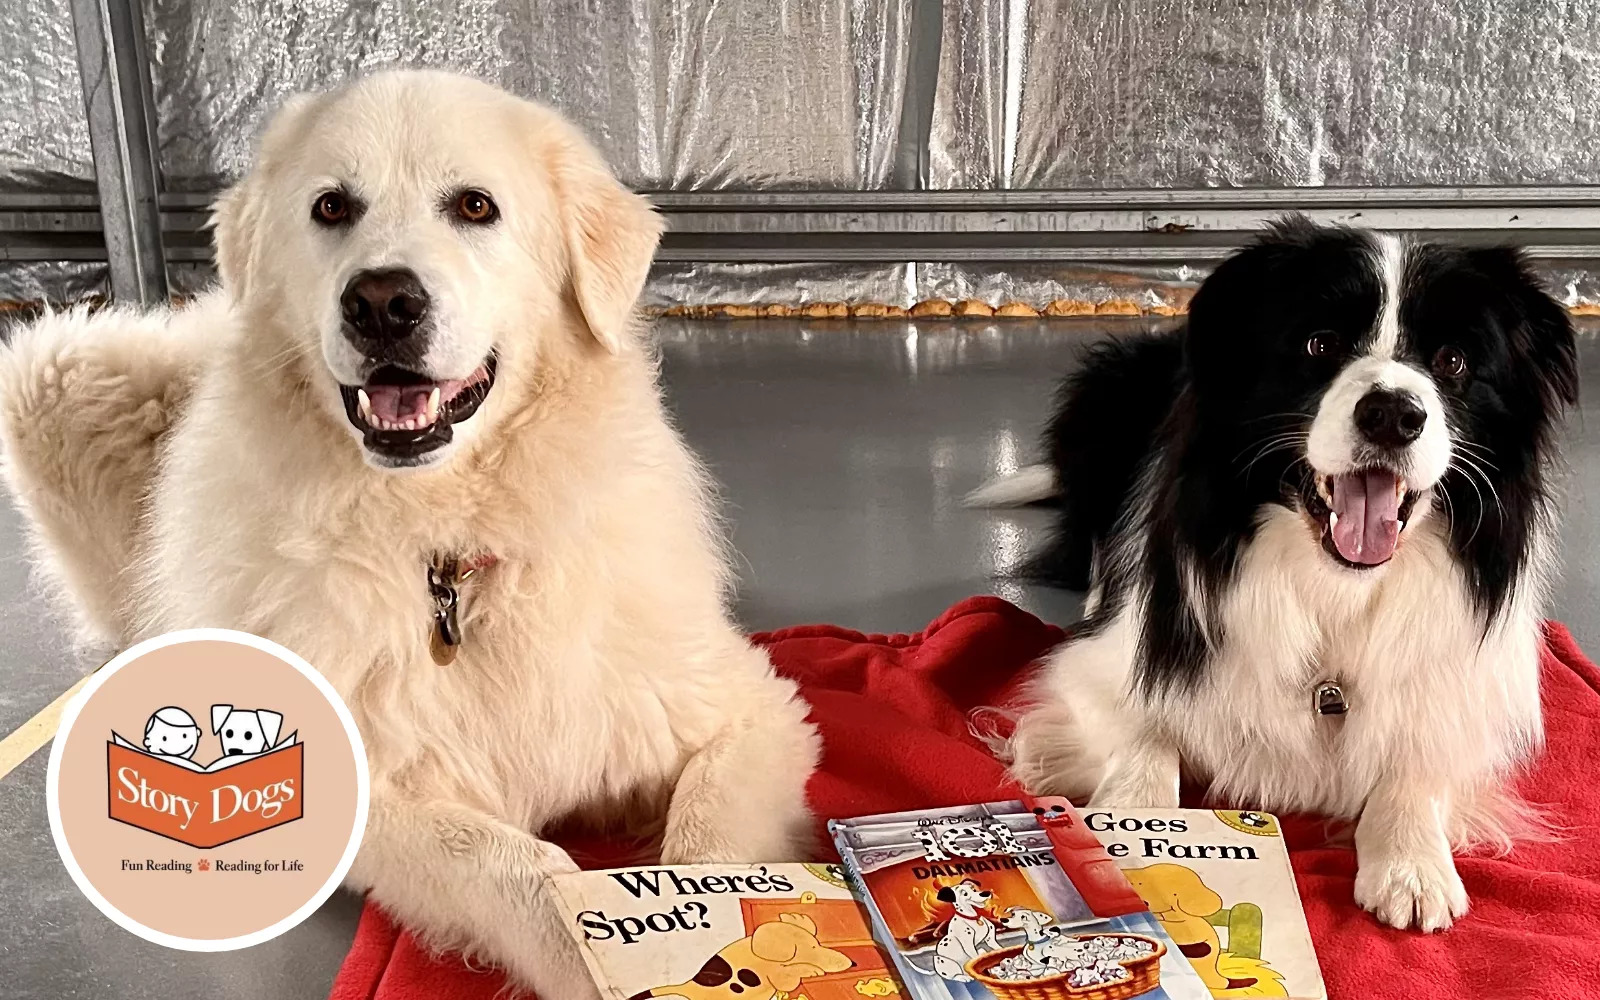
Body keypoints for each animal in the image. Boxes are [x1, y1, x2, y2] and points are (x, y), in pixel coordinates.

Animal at [0, 68, 819, 992]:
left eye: (474, 206)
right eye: (331, 207)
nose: (382, 303)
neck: (448, 552)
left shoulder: (748, 711)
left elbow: (712, 849)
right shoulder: (362, 785)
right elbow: (517, 868)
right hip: (55, 376)